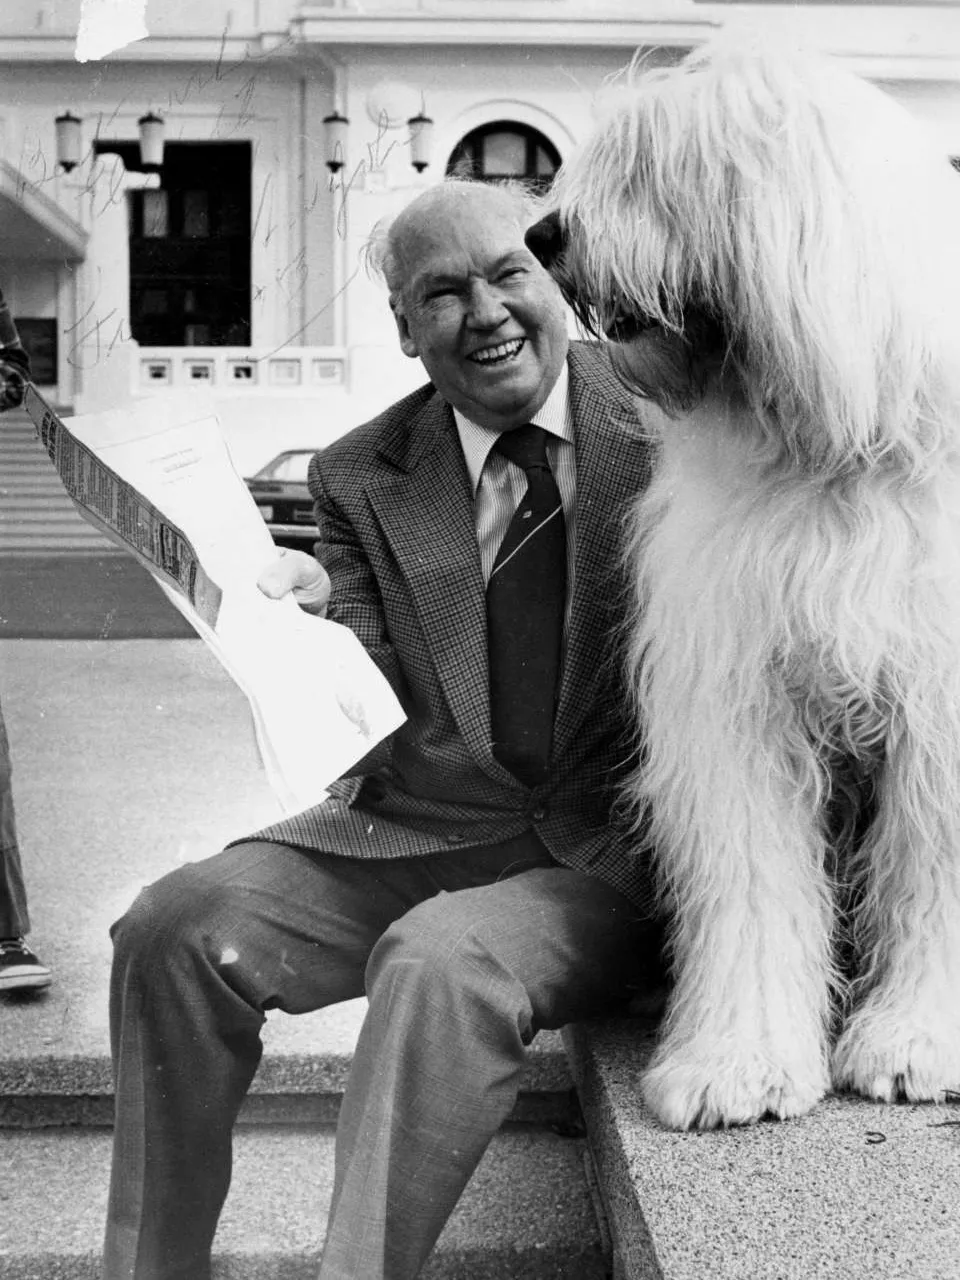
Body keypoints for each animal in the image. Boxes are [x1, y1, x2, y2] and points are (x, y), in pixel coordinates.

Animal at [529, 35, 960, 1126]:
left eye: (661, 165)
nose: (542, 232)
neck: (834, 450)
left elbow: (937, 868)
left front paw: (917, 1042)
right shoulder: (735, 698)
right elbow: (754, 876)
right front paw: (738, 1064)